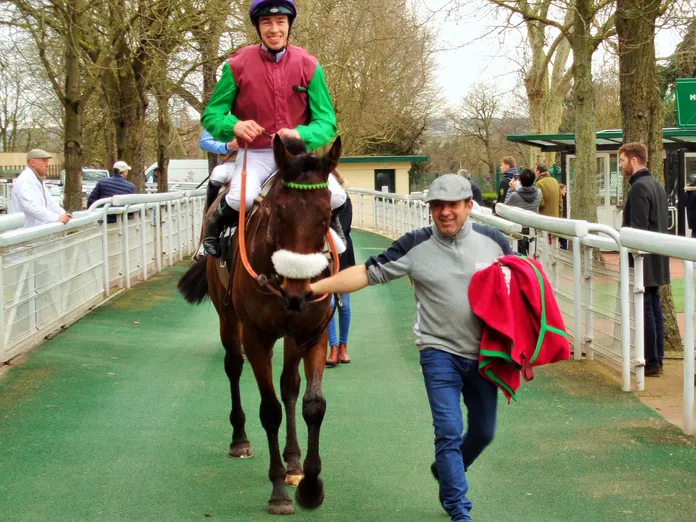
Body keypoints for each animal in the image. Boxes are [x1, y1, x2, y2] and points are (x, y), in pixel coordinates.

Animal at [177, 134, 341, 515]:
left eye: (327, 215)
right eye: (278, 212)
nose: (297, 292)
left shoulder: (312, 333)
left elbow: (313, 403)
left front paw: (310, 484)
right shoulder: (256, 336)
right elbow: (269, 410)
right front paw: (278, 492)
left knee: (289, 385)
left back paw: (294, 462)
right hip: (228, 317)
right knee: (233, 366)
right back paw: (239, 439)